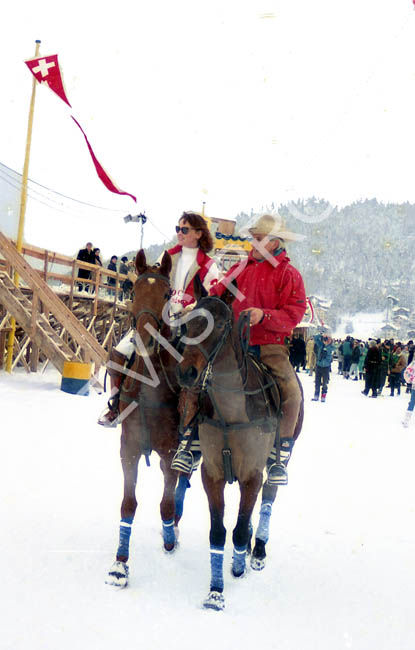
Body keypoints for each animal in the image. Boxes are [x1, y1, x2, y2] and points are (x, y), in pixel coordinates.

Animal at [176, 282, 306, 608]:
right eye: (188, 322)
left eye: (221, 324)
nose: (187, 373)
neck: (231, 410)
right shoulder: (212, 474)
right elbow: (218, 532)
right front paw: (215, 591)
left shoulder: (251, 475)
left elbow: (238, 527)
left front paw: (235, 568)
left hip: (278, 458)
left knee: (269, 499)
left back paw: (257, 549)